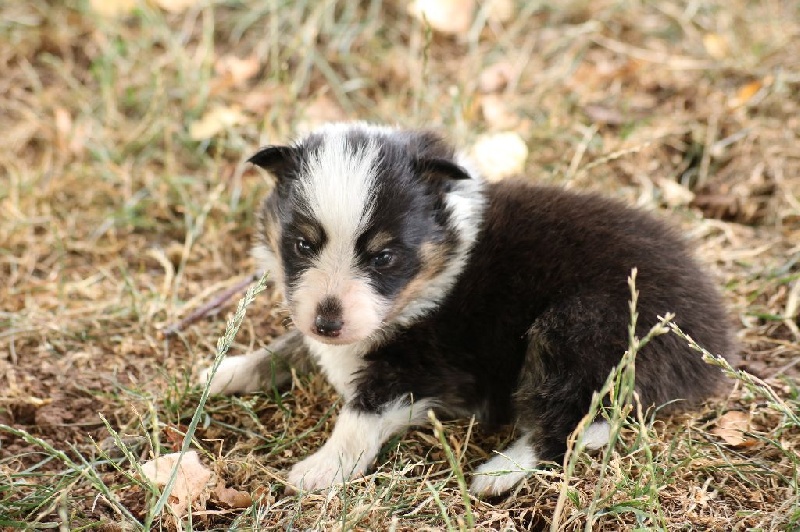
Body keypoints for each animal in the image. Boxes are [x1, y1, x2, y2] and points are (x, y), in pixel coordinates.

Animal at [199, 122, 735, 496]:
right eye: (303, 245)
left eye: (384, 256)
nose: (329, 323)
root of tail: (714, 337)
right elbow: (290, 346)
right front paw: (226, 371)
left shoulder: (425, 365)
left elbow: (360, 413)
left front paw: (322, 469)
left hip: (581, 327)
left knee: (575, 421)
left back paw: (500, 471)